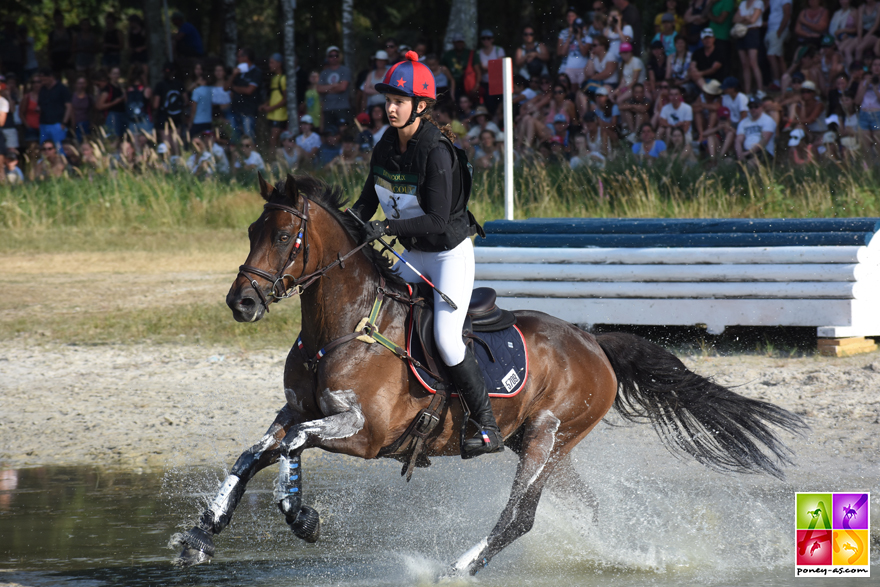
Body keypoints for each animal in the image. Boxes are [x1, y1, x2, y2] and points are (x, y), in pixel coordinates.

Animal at [170, 173, 804, 576]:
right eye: (251, 232)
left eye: (283, 236)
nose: (241, 303)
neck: (343, 328)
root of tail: (592, 341)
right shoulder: (297, 409)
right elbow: (255, 452)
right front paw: (202, 532)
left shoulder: (363, 432)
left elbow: (290, 448)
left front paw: (300, 516)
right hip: (543, 446)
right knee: (583, 506)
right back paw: (610, 553)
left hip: (548, 436)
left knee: (519, 516)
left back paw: (461, 565)